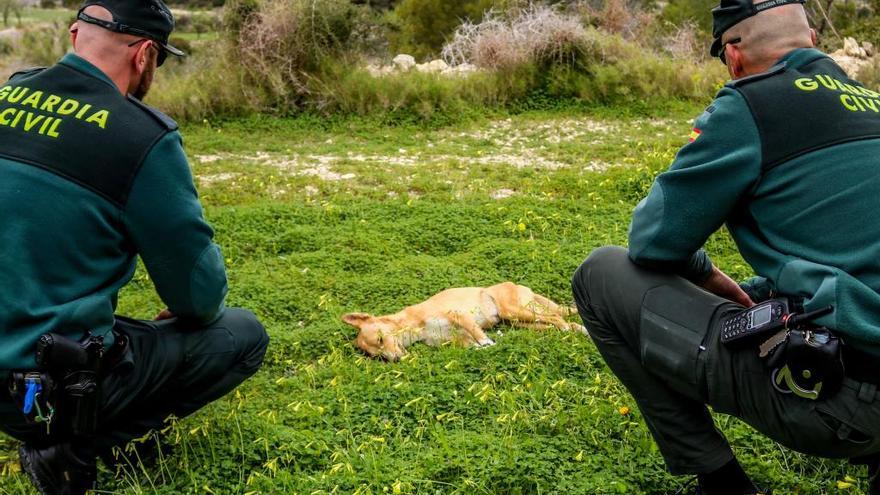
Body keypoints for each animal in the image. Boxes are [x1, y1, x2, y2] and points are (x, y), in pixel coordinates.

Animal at [342, 282, 584, 360]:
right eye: (378, 356)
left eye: (381, 339)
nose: (396, 360)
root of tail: (520, 285)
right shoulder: (457, 340)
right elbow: (471, 345)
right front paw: (483, 348)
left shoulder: (459, 316)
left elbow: (479, 335)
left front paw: (488, 343)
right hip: (523, 322)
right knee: (558, 321)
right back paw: (577, 330)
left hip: (514, 311)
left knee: (556, 317)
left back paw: (566, 328)